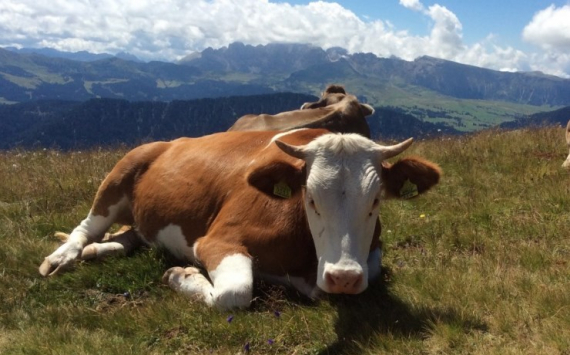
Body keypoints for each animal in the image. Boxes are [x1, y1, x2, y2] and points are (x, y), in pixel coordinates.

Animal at [40, 129, 440, 310]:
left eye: (376, 200)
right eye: (310, 198)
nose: (343, 277)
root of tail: (170, 142)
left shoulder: (370, 255)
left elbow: (367, 273)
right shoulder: (219, 240)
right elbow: (233, 293)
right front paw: (182, 275)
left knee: (131, 233)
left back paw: (99, 251)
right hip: (121, 173)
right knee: (86, 226)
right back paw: (64, 256)